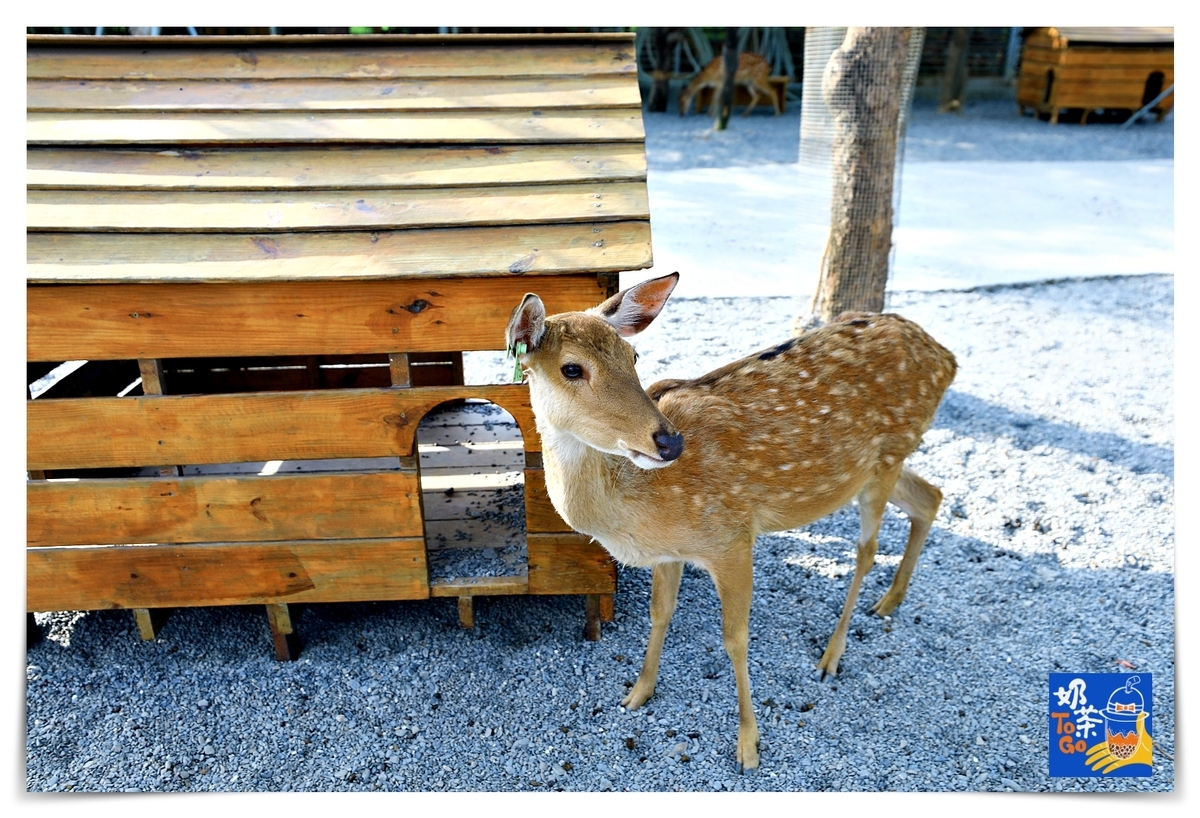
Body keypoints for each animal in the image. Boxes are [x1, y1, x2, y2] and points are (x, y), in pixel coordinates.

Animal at [506, 271, 955, 767]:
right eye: (571, 368)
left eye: (633, 356)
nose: (670, 442)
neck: (642, 513)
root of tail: (946, 357)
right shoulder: (671, 552)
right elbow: (660, 613)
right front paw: (638, 692)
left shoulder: (732, 536)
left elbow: (734, 638)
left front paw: (748, 745)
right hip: (875, 468)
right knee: (930, 496)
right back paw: (890, 601)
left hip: (888, 455)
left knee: (869, 548)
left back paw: (832, 655)